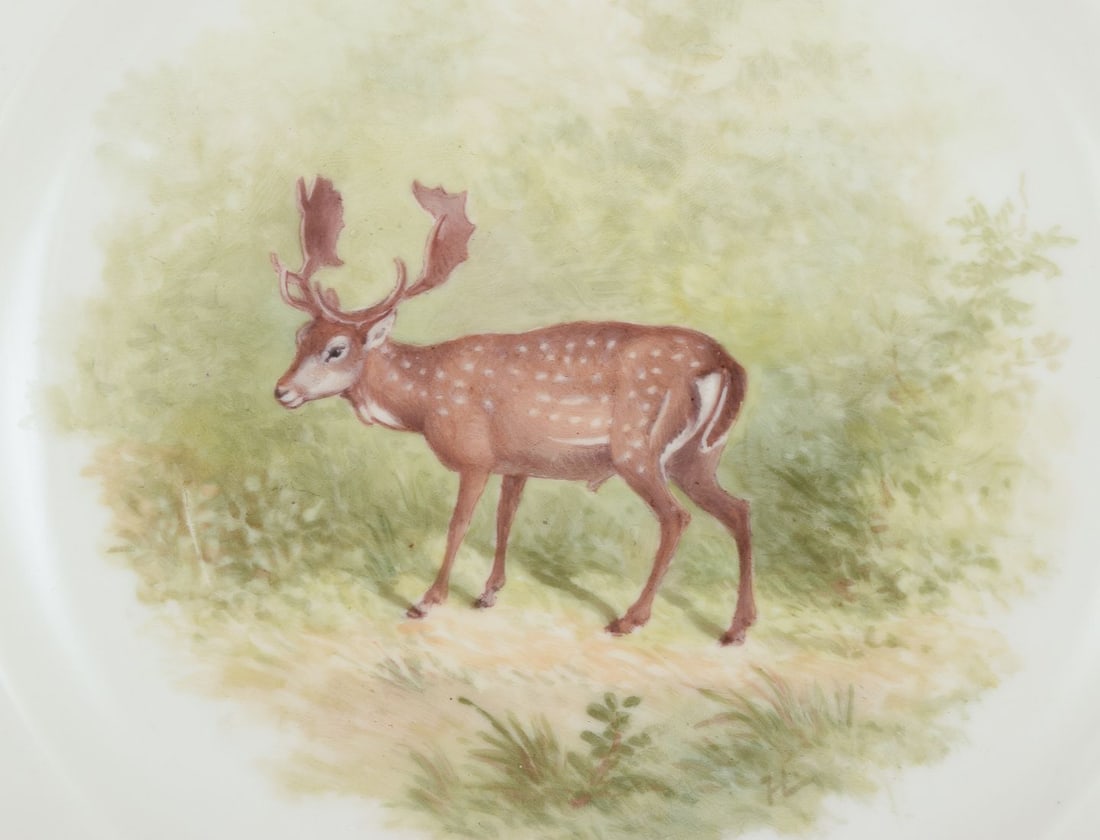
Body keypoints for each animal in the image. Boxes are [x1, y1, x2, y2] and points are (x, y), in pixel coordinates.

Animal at [271, 176, 756, 645]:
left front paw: (427, 600)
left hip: (638, 447)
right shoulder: (515, 463)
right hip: (698, 456)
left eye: (337, 348)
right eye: (299, 337)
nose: (281, 391)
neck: (427, 399)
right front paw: (488, 593)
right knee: (740, 509)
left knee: (676, 518)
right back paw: (737, 627)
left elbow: (459, 524)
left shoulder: (474, 456)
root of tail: (725, 362)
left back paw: (629, 619)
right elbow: (505, 520)